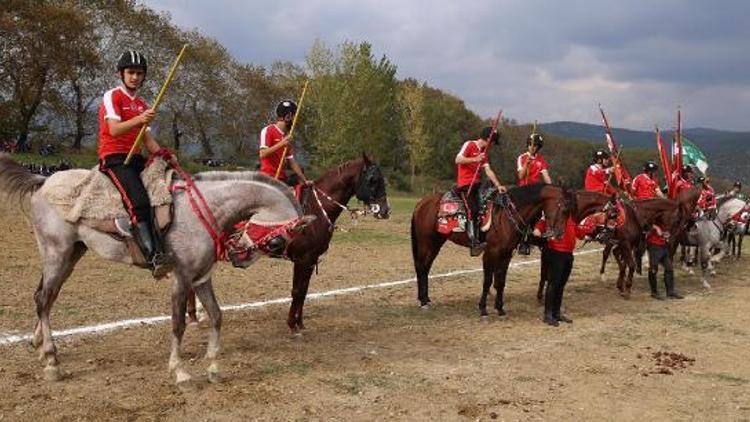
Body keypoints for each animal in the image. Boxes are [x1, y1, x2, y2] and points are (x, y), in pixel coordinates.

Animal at [0, 155, 306, 386]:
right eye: (278, 241)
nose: (239, 257)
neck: (204, 210)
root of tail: (43, 182)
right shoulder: (182, 279)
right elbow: (178, 323)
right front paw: (179, 371)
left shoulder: (201, 278)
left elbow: (217, 316)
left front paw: (213, 367)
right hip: (57, 253)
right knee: (43, 299)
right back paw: (51, 360)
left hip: (71, 255)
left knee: (46, 296)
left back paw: (42, 348)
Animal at [412, 183, 568, 318]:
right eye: (562, 208)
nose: (560, 234)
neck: (507, 216)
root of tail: (422, 203)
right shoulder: (490, 253)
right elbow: (487, 281)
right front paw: (483, 309)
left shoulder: (506, 254)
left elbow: (501, 281)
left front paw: (499, 308)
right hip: (426, 242)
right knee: (421, 267)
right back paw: (423, 301)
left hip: (436, 242)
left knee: (426, 267)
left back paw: (426, 299)